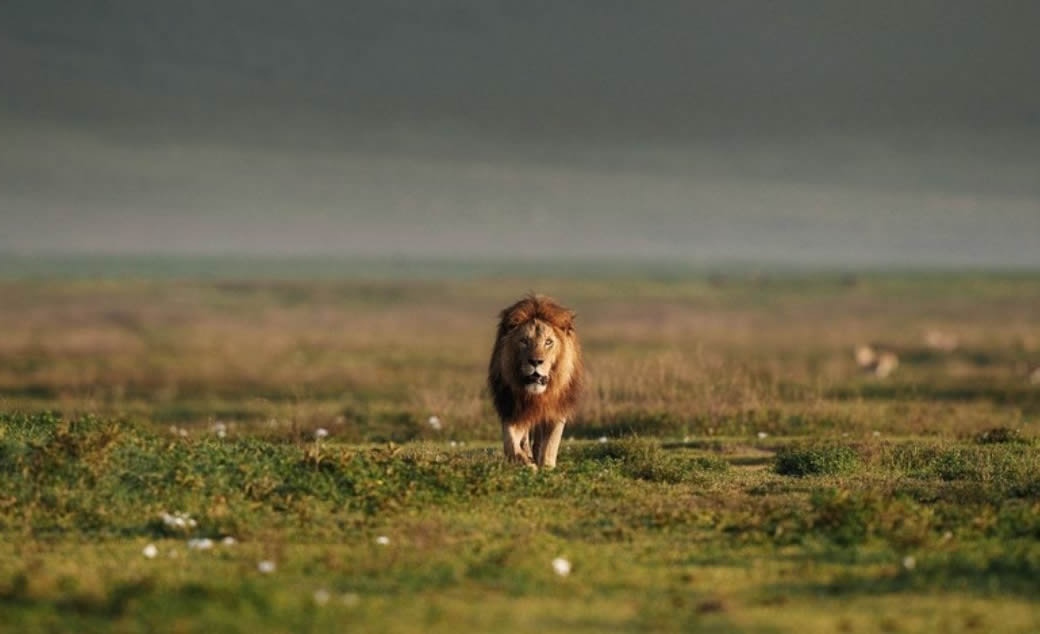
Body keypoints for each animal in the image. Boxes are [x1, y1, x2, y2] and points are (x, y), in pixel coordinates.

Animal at [488, 293, 586, 465]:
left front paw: (545, 466)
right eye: (523, 341)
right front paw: (526, 462)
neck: (537, 396)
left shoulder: (557, 408)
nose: (535, 361)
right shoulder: (512, 407)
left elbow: (551, 444)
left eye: (548, 342)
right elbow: (510, 442)